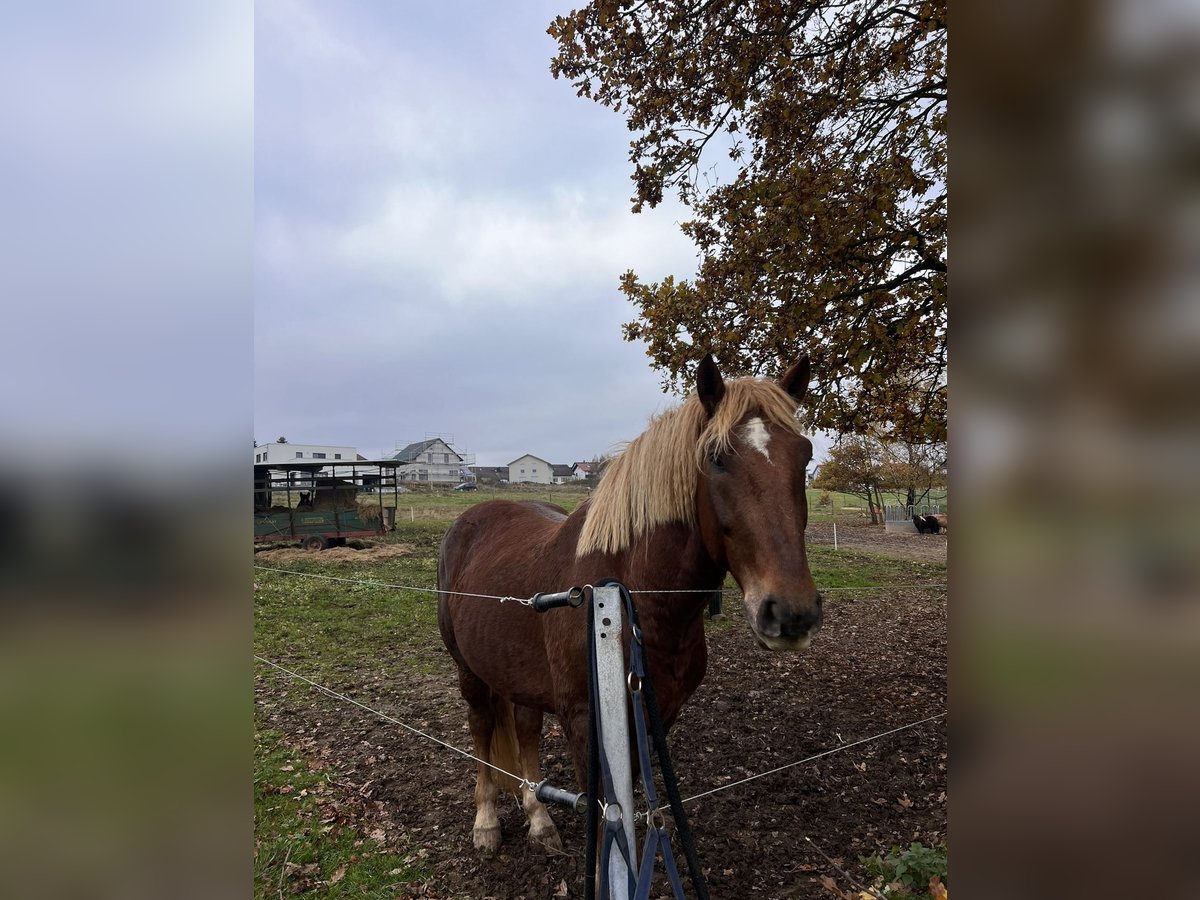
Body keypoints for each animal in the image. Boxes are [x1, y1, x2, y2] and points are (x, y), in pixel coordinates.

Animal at [437, 354, 823, 856]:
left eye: (806, 456)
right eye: (716, 459)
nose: (792, 613)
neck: (632, 601)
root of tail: (468, 520)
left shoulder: (655, 717)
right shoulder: (584, 724)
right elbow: (607, 831)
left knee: (524, 729)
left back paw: (540, 819)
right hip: (468, 669)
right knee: (482, 727)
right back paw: (485, 822)